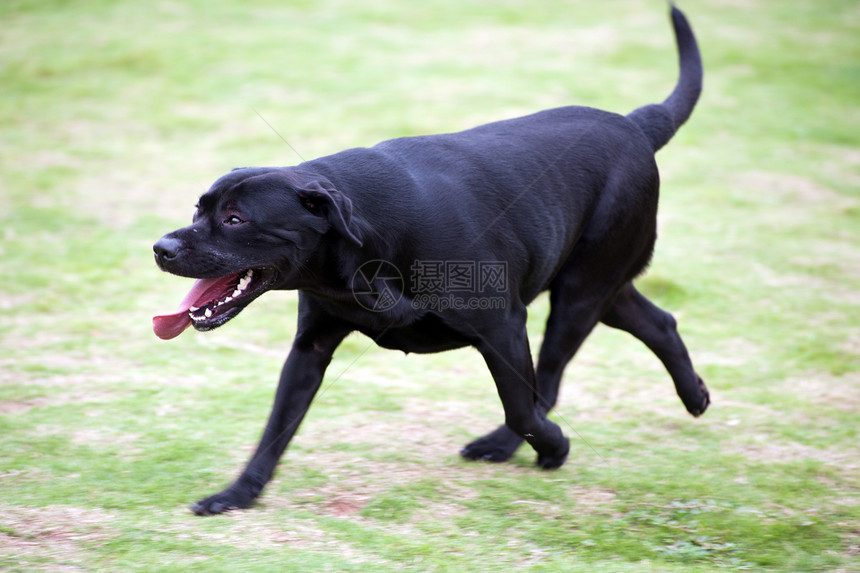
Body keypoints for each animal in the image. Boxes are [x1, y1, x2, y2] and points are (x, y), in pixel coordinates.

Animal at [153, 5, 704, 512]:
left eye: (236, 219)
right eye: (199, 208)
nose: (162, 248)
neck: (367, 244)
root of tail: (636, 124)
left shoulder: (503, 326)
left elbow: (522, 409)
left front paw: (556, 445)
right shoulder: (311, 346)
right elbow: (276, 426)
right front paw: (237, 494)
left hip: (579, 293)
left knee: (546, 382)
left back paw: (514, 444)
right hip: (599, 285)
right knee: (660, 321)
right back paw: (696, 395)